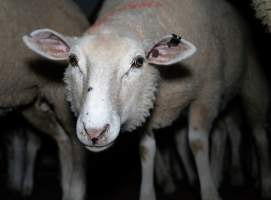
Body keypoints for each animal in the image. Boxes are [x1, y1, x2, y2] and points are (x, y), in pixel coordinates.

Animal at [24, 0, 270, 200]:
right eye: (73, 61)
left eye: (138, 62)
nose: (94, 132)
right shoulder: (145, 108)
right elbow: (146, 150)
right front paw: (149, 193)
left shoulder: (205, 96)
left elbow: (197, 142)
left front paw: (209, 193)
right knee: (219, 133)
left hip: (249, 84)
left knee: (256, 132)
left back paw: (260, 183)